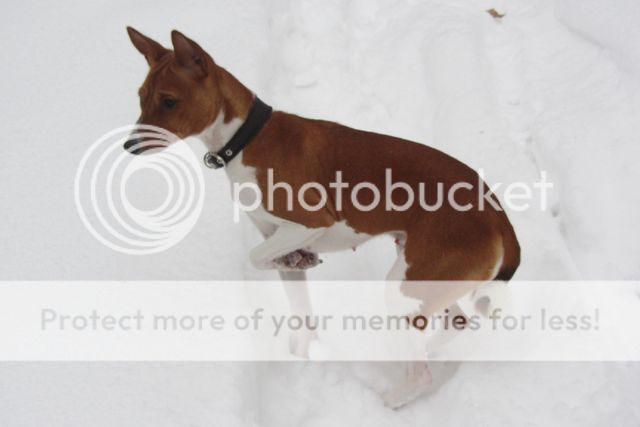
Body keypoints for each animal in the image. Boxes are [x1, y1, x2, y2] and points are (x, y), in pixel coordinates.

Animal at [123, 28, 520, 409]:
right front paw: (301, 357)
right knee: (455, 323)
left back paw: (389, 400)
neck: (246, 137)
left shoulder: (311, 222)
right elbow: (298, 306)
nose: (128, 147)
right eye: (141, 97)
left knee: (422, 371)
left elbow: (255, 256)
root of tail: (498, 217)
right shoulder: (279, 240)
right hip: (423, 278)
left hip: (405, 286)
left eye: (169, 101)